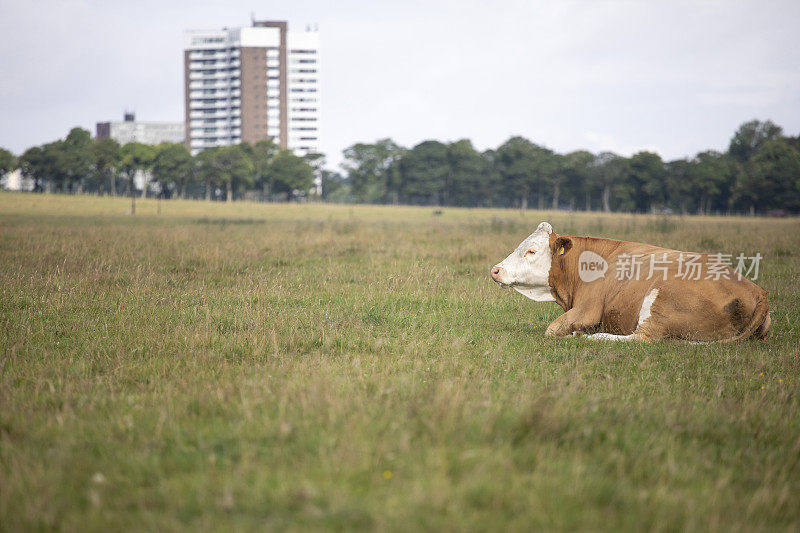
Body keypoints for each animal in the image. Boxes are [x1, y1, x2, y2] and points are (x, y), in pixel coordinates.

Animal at [490, 220, 772, 340]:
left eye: (531, 251)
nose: (496, 270)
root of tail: (758, 290)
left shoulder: (587, 309)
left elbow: (551, 330)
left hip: (658, 304)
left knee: (641, 339)